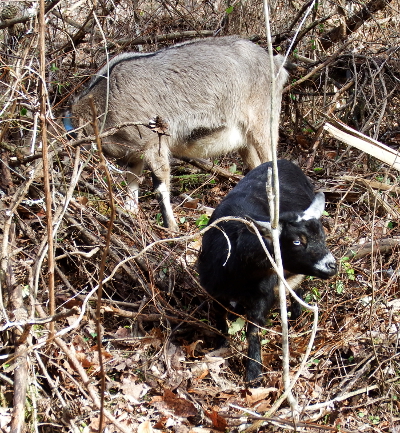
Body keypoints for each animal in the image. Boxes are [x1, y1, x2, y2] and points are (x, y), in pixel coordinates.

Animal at [67, 36, 290, 230]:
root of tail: (276, 64)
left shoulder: (153, 143)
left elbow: (160, 185)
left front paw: (171, 227)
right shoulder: (134, 154)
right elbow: (132, 184)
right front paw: (130, 214)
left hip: (263, 123)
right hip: (246, 142)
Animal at [198, 159, 336, 382]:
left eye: (322, 236)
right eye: (296, 241)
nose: (331, 265)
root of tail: (284, 161)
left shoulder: (262, 295)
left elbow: (253, 330)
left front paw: (254, 373)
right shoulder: (215, 291)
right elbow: (220, 318)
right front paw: (221, 346)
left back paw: (296, 314)